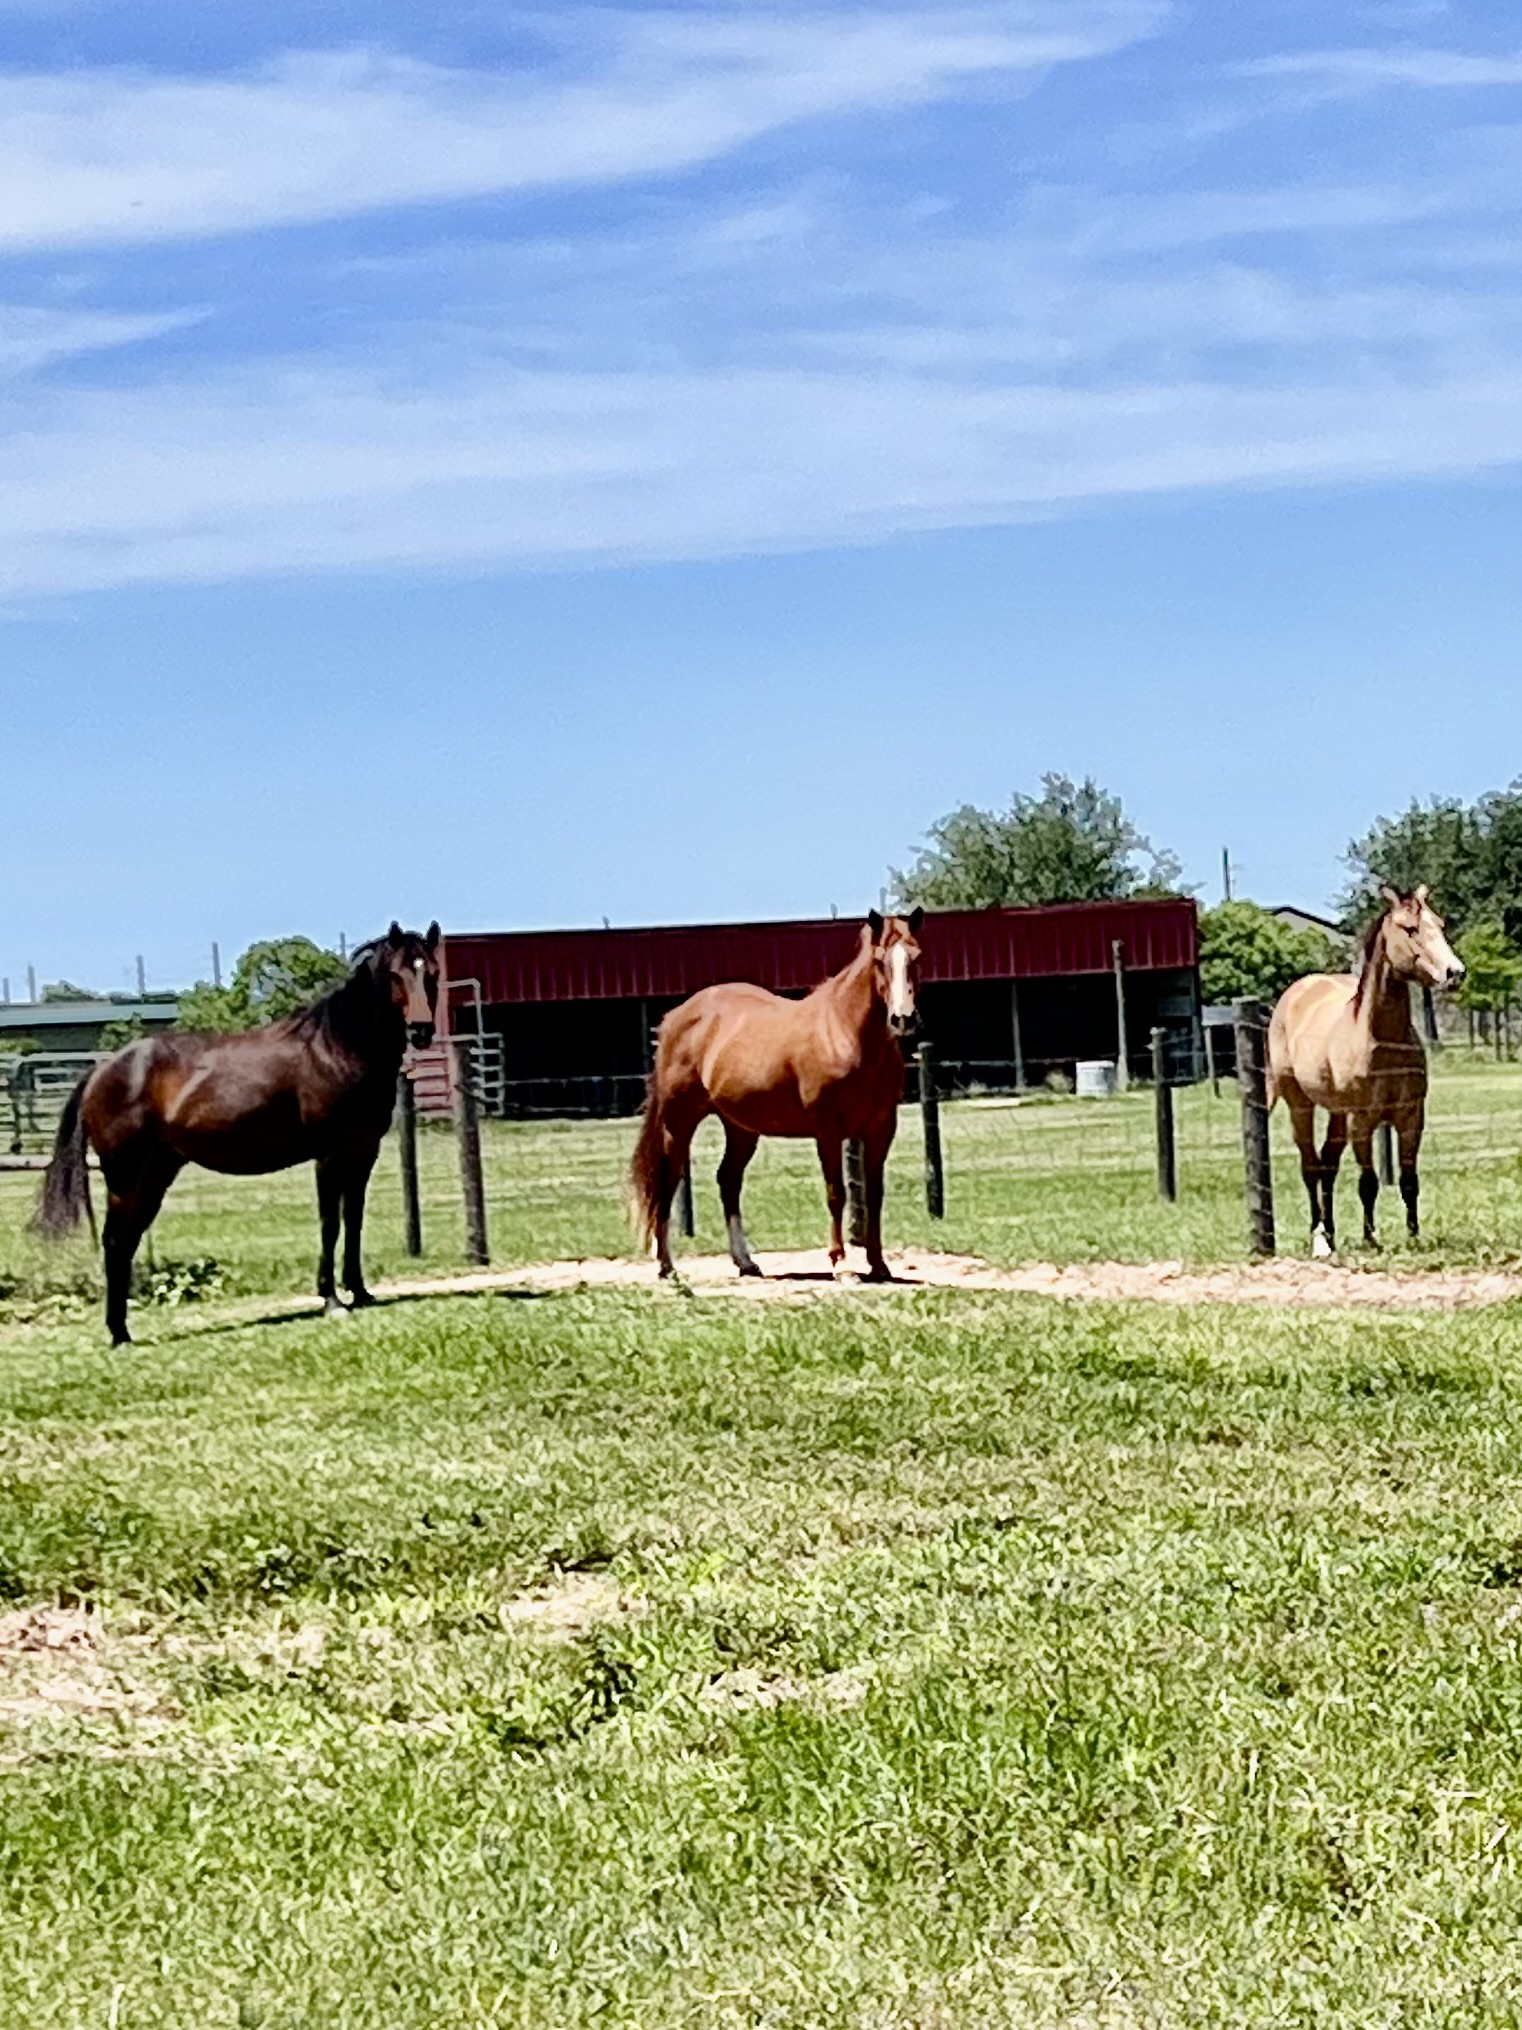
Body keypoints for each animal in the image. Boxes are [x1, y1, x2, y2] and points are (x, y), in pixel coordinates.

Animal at [32, 922, 440, 1343]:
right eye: (396, 974)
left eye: (432, 972)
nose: (421, 1030)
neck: (336, 1048)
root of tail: (100, 1071)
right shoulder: (328, 1156)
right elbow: (330, 1223)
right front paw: (331, 1300)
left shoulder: (362, 1152)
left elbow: (353, 1220)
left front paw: (359, 1291)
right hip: (124, 1178)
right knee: (115, 1241)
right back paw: (119, 1334)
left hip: (154, 1175)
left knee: (127, 1240)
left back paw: (122, 1329)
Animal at [629, 909, 923, 1282]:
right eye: (880, 960)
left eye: (917, 957)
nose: (903, 1018)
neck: (845, 1033)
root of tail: (674, 1018)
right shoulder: (828, 1130)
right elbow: (836, 1193)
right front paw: (841, 1265)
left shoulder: (880, 1129)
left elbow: (874, 1195)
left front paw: (878, 1263)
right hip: (679, 1122)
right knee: (668, 1179)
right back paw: (666, 1265)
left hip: (741, 1129)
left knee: (728, 1180)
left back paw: (745, 1262)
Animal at [1267, 886, 1463, 1256]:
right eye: (1410, 928)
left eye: (1440, 924)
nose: (1455, 973)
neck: (1379, 1037)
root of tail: (1296, 992)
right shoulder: (1361, 1121)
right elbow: (1368, 1183)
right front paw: (1371, 1239)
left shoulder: (1411, 1117)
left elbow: (1409, 1181)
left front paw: (1413, 1237)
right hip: (1299, 1104)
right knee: (1310, 1166)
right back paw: (1319, 1238)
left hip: (1337, 1114)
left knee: (1327, 1164)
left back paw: (1330, 1233)